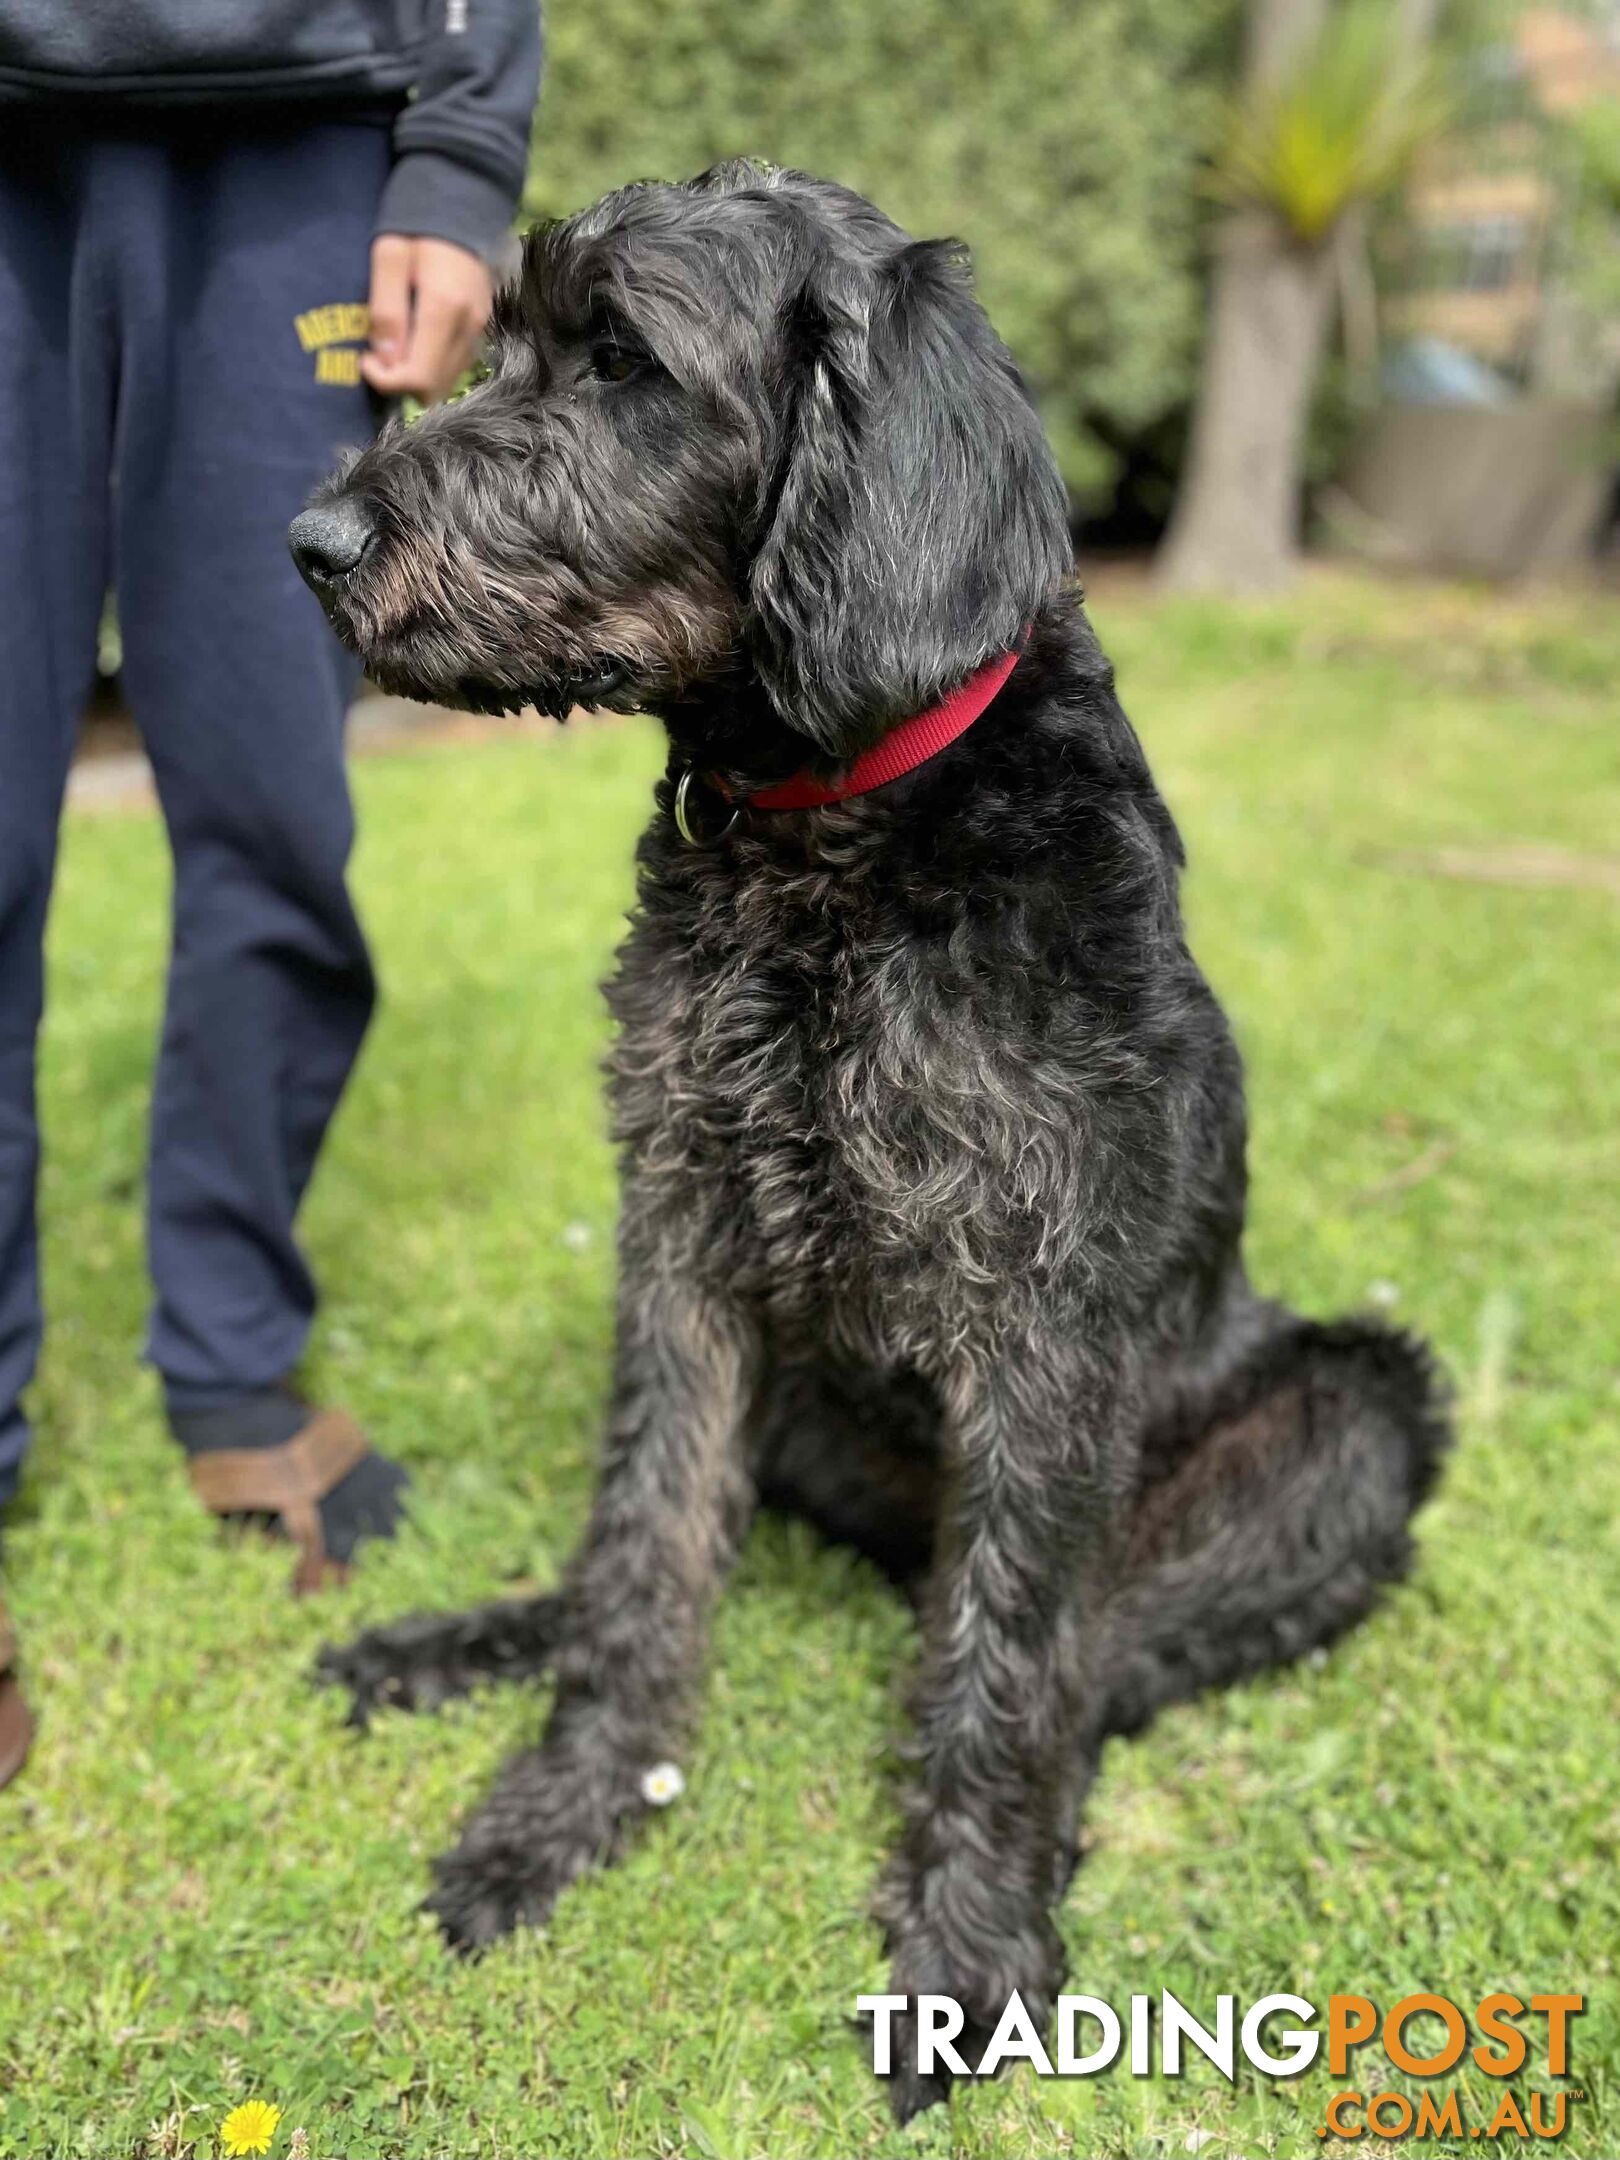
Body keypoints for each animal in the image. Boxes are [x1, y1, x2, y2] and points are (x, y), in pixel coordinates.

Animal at [291, 159, 1442, 2116]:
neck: (832, 841)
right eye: (503, 341)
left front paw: (969, 1950)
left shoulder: (1047, 1324)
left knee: (1074, 1647)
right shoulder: (681, 1244)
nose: (314, 540)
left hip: (1355, 1416)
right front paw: (563, 1810)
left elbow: (1011, 1669)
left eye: (622, 358)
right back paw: (463, 1638)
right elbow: (645, 1549)